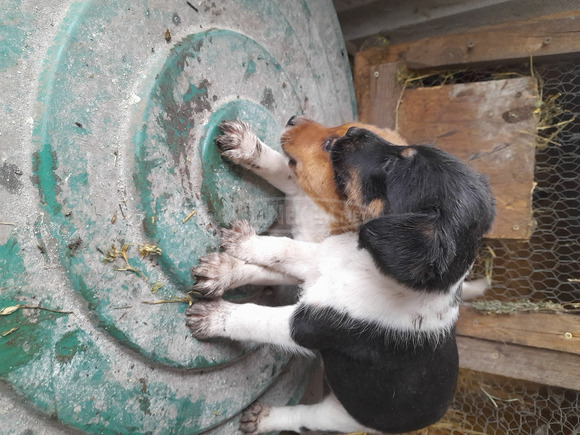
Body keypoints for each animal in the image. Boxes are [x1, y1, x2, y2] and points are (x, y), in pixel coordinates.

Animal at [186, 125, 494, 432]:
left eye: (392, 164)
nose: (354, 130)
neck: (367, 265)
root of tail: (436, 415)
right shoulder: (320, 261)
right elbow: (282, 252)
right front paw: (224, 268)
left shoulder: (307, 325)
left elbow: (256, 316)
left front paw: (213, 316)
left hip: (339, 415)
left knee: (305, 418)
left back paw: (264, 419)